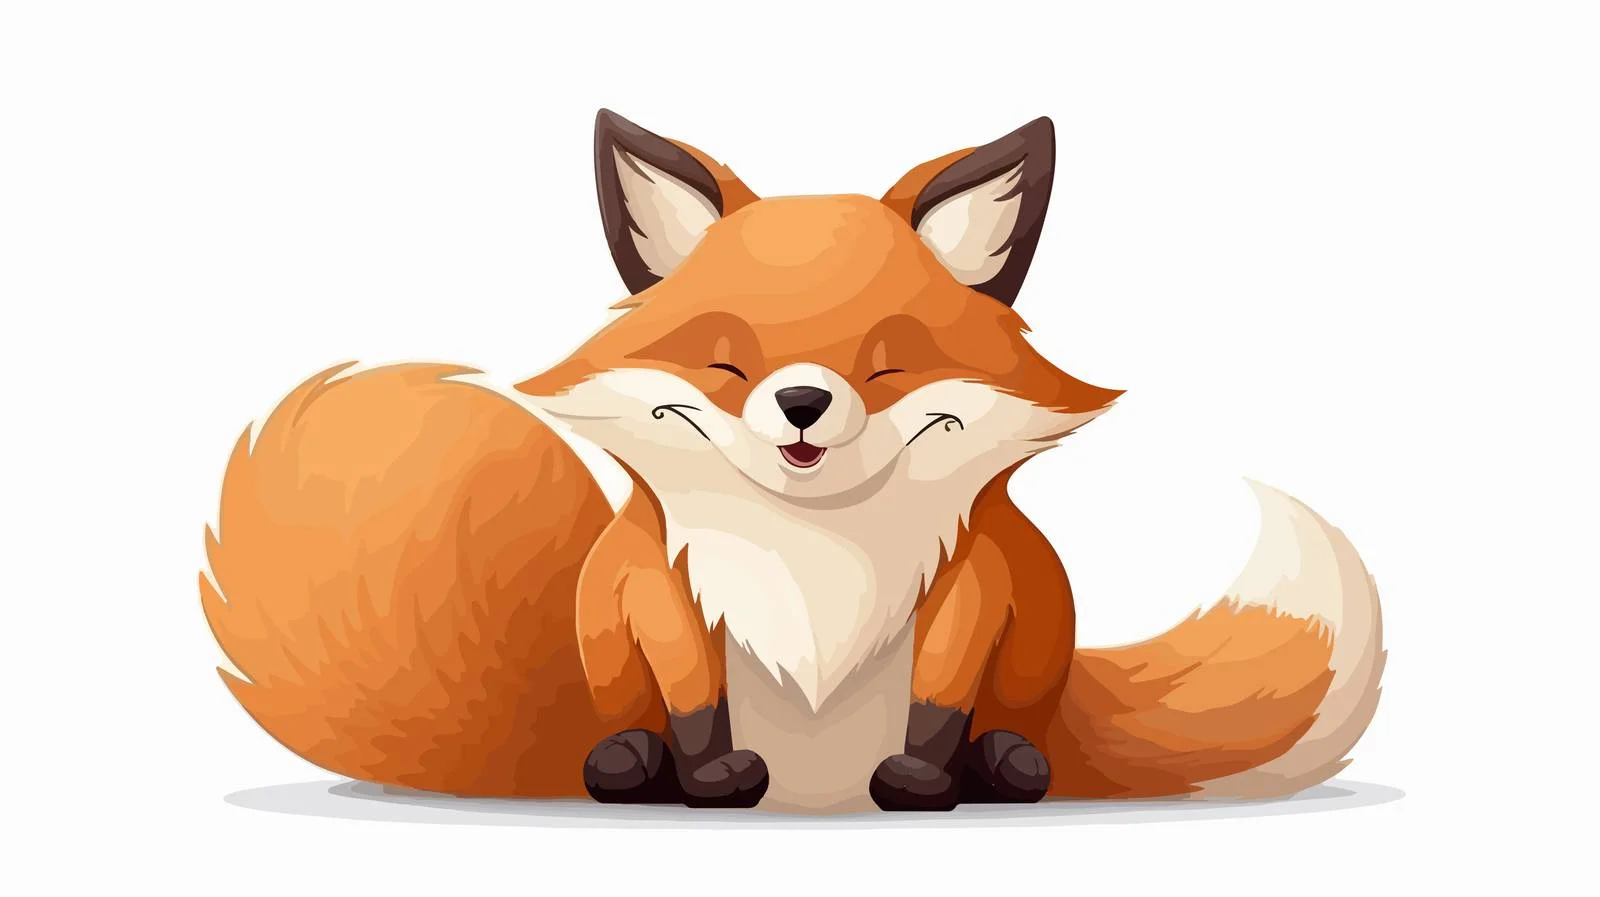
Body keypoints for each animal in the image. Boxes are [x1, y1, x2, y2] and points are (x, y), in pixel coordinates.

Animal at [202, 110, 1384, 813]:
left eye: (888, 362)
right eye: (727, 361)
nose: (804, 401)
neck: (817, 550)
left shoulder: (973, 590)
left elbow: (938, 701)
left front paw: (922, 777)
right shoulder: (656, 587)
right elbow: (691, 697)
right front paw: (710, 777)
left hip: (1040, 645)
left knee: (1012, 729)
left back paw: (1007, 767)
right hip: (599, 645)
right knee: (621, 733)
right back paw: (626, 769)